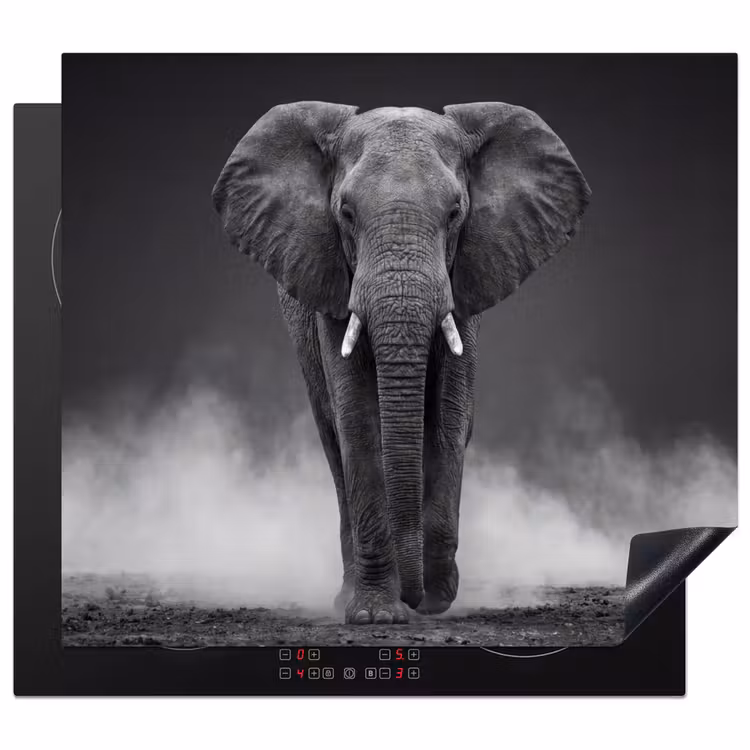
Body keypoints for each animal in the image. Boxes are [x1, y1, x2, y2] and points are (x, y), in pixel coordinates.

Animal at [212, 101, 590, 624]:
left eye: (454, 213)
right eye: (346, 213)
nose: (417, 598)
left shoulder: (466, 280)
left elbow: (449, 420)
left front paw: (436, 598)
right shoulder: (332, 284)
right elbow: (358, 424)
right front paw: (376, 615)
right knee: (334, 443)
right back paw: (347, 596)